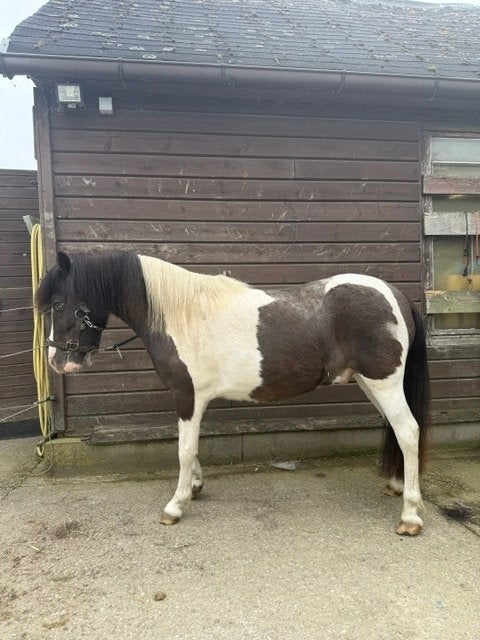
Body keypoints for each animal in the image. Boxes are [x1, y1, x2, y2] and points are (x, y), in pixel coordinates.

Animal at [36, 251, 430, 535]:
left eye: (58, 304)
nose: (56, 360)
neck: (180, 314)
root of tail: (394, 295)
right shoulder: (193, 400)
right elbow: (192, 447)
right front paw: (195, 487)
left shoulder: (186, 396)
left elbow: (184, 450)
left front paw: (175, 506)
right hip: (370, 383)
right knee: (397, 432)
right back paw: (397, 486)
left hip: (383, 382)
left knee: (408, 433)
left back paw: (410, 516)